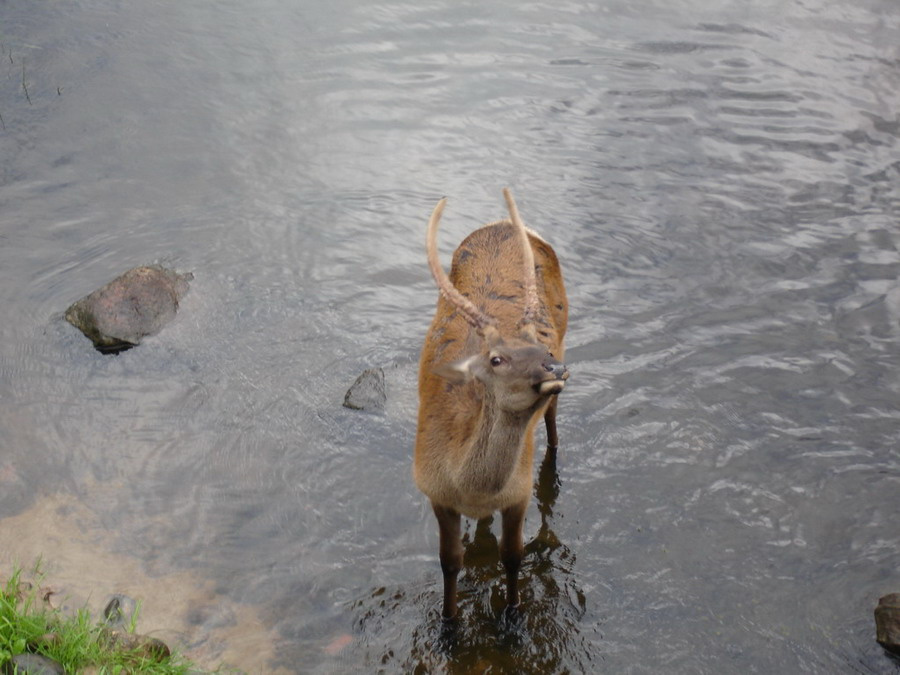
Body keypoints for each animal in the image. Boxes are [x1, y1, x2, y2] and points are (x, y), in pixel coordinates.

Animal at [413, 188, 569, 621]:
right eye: (496, 359)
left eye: (544, 348)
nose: (555, 367)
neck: (471, 490)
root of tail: (501, 223)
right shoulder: (433, 490)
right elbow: (450, 561)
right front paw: (449, 621)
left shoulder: (518, 491)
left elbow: (513, 555)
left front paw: (513, 614)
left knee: (552, 428)